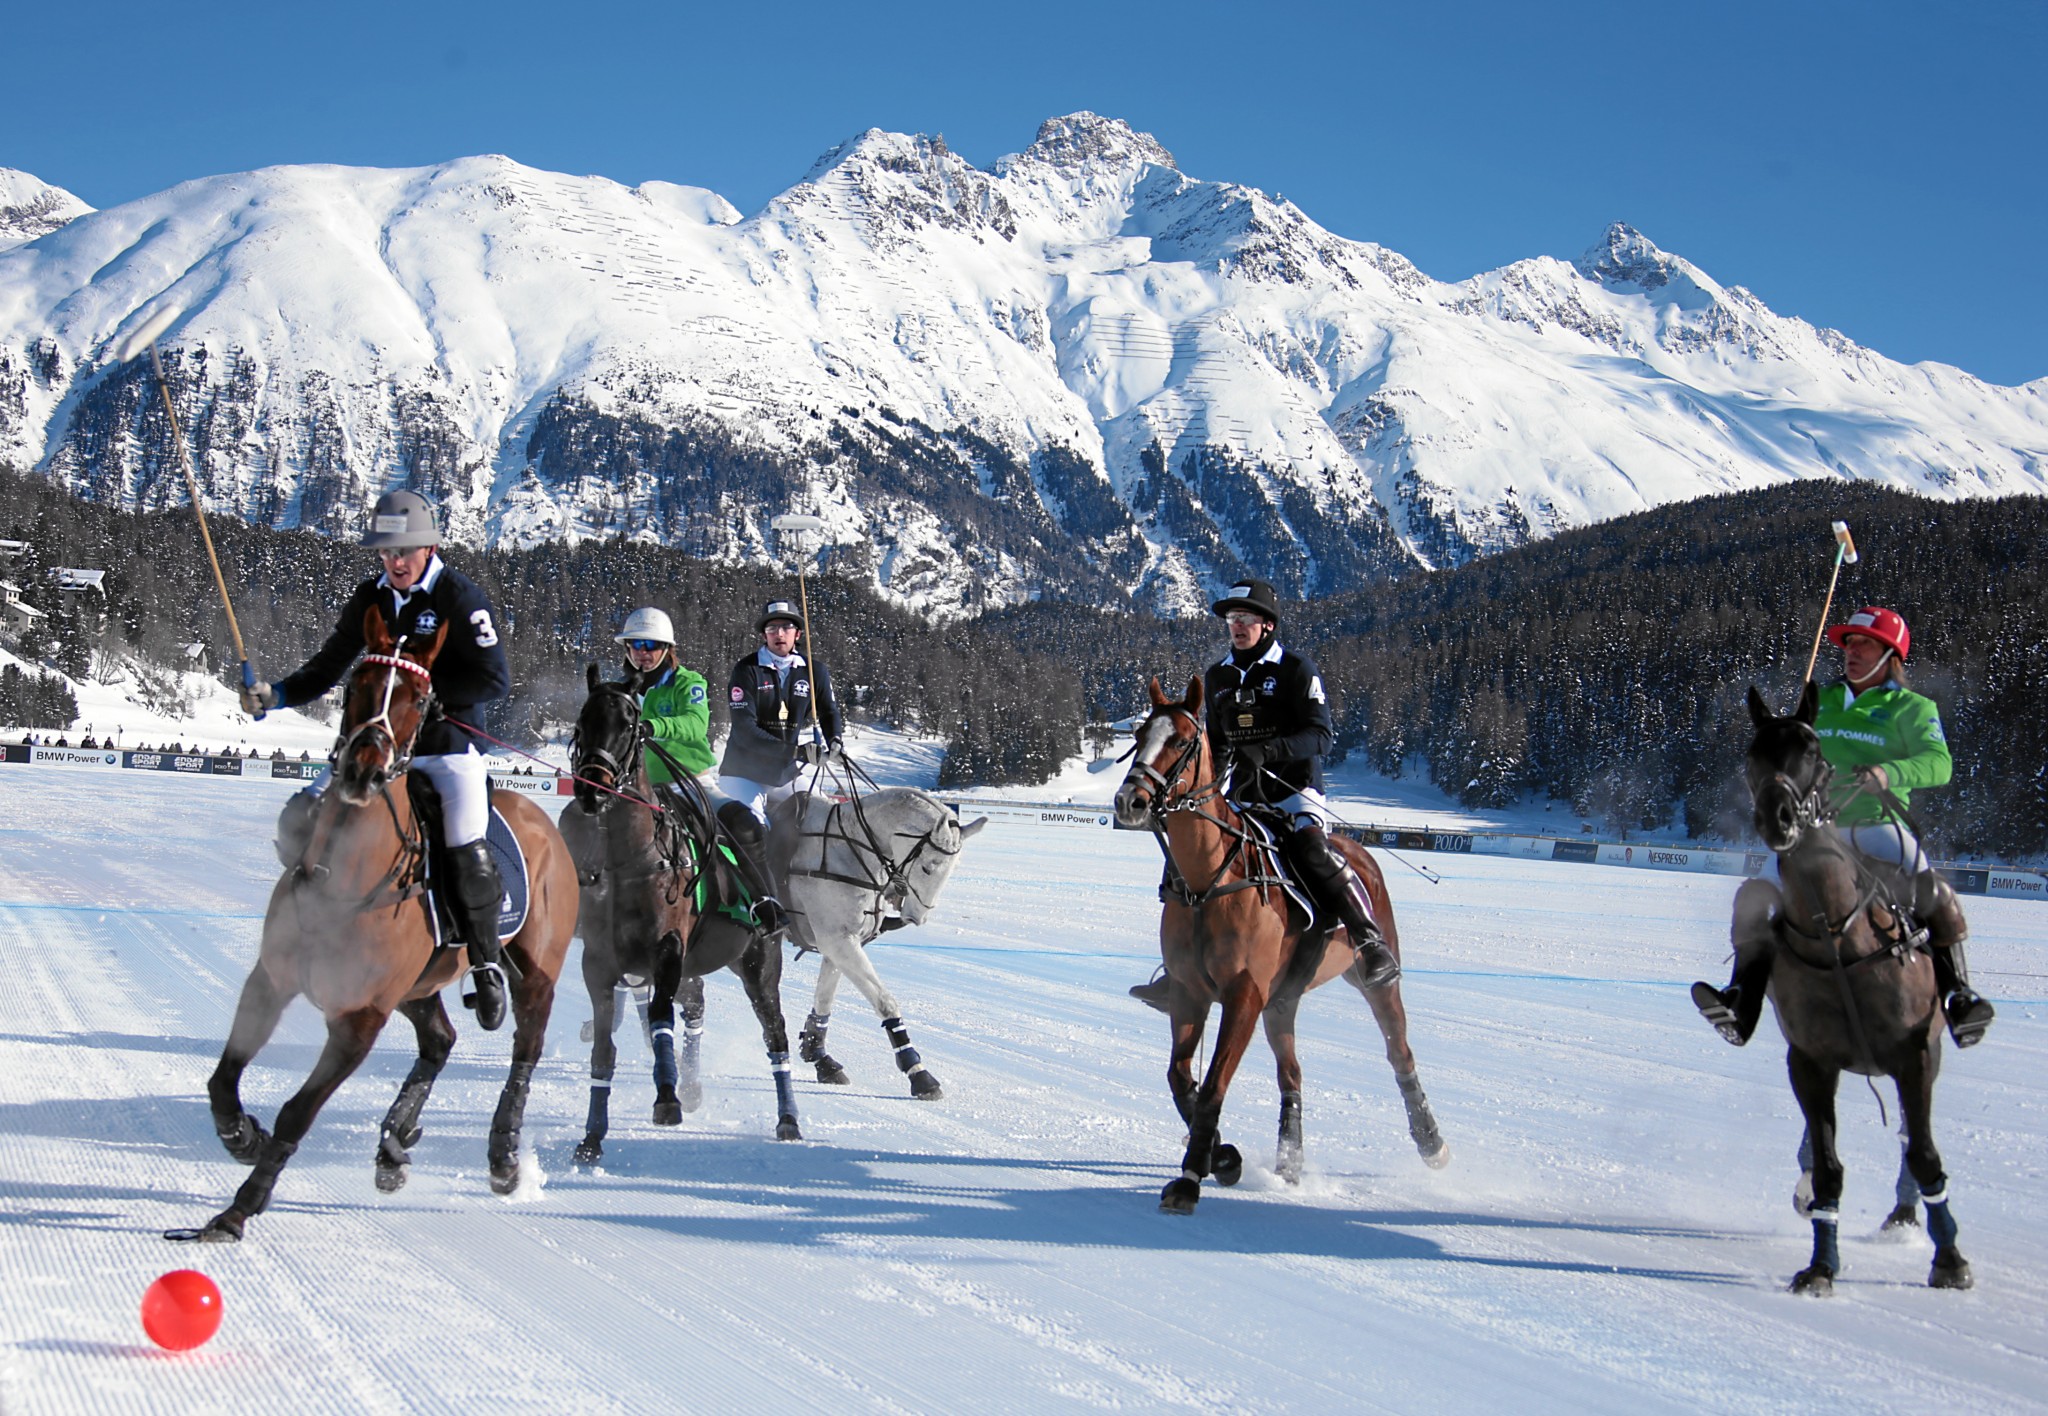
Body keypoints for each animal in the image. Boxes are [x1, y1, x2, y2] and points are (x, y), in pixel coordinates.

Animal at [169, 606, 577, 1237]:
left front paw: (240, 1208)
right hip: (419, 985)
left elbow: (297, 1113)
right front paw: (242, 1137)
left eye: (420, 697)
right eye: (355, 684)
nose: (364, 768)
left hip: (536, 971)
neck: (347, 878)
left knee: (523, 1051)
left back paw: (503, 1157)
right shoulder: (271, 981)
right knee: (440, 1041)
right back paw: (393, 1143)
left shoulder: (359, 1020)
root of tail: (544, 820)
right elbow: (223, 1076)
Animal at [569, 668, 806, 1163]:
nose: (591, 788)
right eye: (583, 722)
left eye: (630, 725)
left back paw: (788, 1119)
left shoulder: (666, 952)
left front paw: (667, 1097)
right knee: (696, 1004)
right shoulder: (599, 962)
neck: (634, 860)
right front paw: (592, 1137)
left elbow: (660, 1017)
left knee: (774, 1035)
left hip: (759, 964)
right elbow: (604, 1046)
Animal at [774, 774, 983, 1098]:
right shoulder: (837, 941)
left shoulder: (841, 942)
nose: (917, 917)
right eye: (928, 867)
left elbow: (824, 1000)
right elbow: (885, 1001)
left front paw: (820, 1057)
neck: (850, 849)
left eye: (953, 870)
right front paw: (918, 1072)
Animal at [1114, 680, 1449, 1213]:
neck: (1208, 882)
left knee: (1400, 1054)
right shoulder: (1189, 992)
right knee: (1292, 1073)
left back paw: (1431, 1142)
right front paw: (1222, 1156)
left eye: (1182, 740)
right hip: (1282, 1001)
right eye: (1140, 734)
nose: (1130, 802)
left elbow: (1213, 1083)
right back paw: (1290, 1161)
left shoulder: (1243, 995)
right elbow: (1181, 1078)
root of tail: (1359, 849)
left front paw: (1190, 1177)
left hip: (1370, 980)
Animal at [1744, 688, 1966, 1295]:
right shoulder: (1809, 1060)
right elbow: (1827, 1167)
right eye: (1751, 755)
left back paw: (1907, 1215)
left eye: (1814, 753)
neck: (1836, 933)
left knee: (1913, 1140)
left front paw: (1950, 1260)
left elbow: (1926, 1155)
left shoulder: (1916, 1053)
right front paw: (1822, 1266)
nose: (1778, 818)